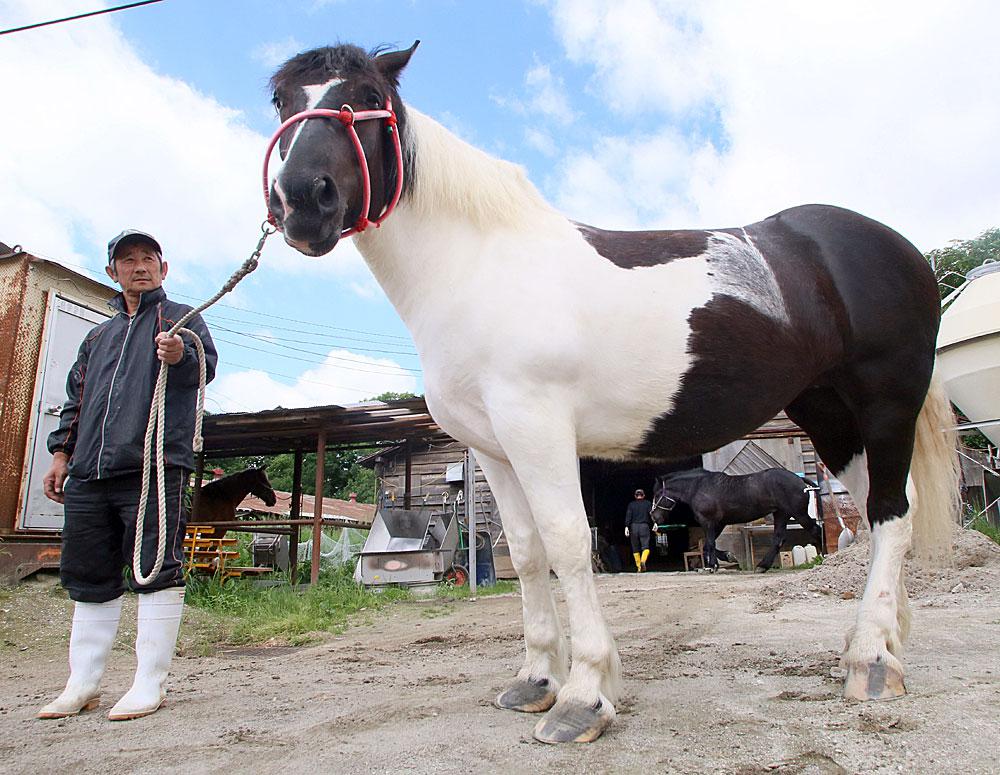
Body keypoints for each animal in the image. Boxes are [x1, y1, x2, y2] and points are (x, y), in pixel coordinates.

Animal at [652, 466, 824, 568]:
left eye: (657, 494)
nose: (654, 517)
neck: (699, 487)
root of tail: (799, 479)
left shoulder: (708, 522)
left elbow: (710, 544)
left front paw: (714, 565)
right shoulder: (718, 523)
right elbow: (708, 545)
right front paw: (726, 558)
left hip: (798, 514)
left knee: (816, 530)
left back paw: (823, 557)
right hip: (781, 514)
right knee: (779, 539)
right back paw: (762, 566)